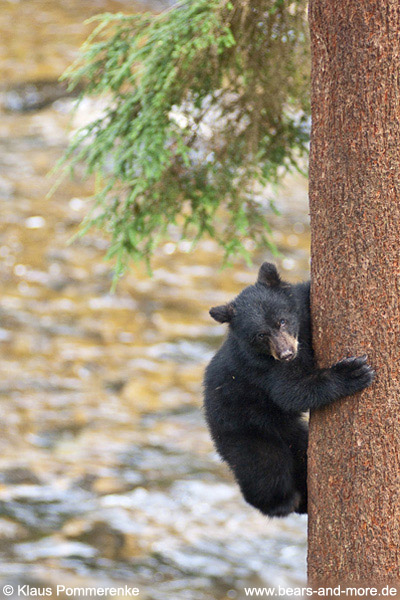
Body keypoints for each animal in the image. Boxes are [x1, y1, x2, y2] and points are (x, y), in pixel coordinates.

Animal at [203, 262, 376, 516]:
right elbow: (292, 392)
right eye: (260, 335)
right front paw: (352, 372)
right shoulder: (263, 369)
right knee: (265, 470)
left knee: (301, 452)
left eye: (282, 321)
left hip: (290, 431)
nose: (286, 354)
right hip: (246, 430)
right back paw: (284, 502)